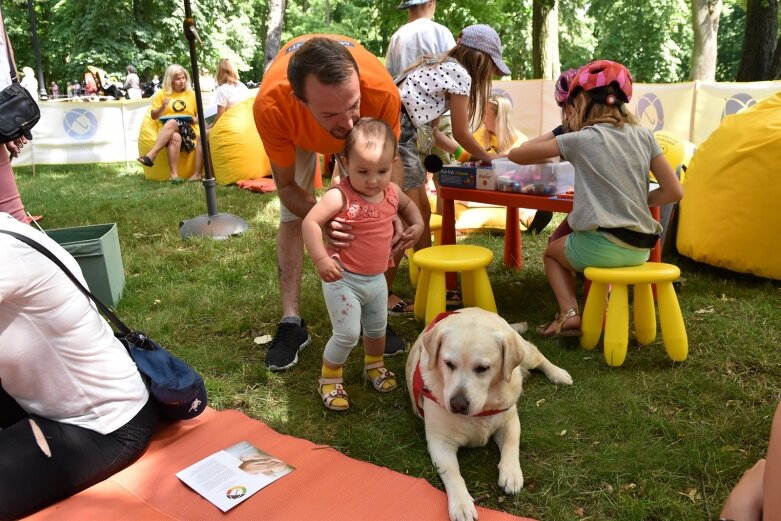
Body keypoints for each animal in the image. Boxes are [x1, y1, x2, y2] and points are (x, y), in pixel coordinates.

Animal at [406, 306, 568, 516]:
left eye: (482, 368)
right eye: (448, 363)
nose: (457, 404)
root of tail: (473, 308)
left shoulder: (510, 421)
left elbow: (511, 445)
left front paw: (511, 473)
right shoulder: (440, 443)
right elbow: (453, 474)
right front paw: (462, 504)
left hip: (525, 354)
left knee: (538, 354)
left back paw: (559, 374)